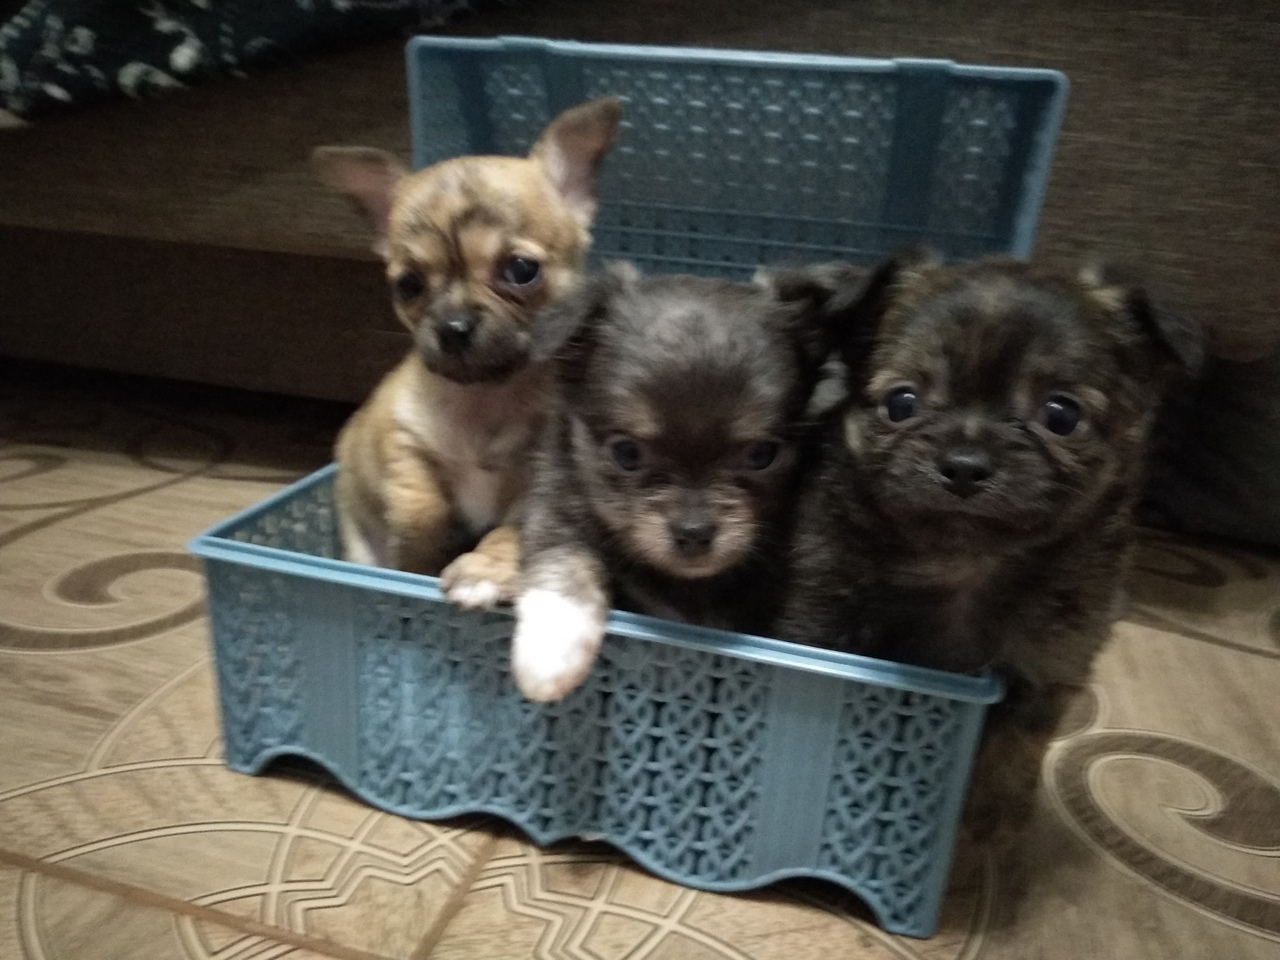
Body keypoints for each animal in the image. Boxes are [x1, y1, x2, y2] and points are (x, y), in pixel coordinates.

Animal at [312, 97, 621, 607]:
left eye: (521, 270)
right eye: (408, 285)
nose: (454, 327)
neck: (484, 397)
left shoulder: (538, 479)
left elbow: (513, 530)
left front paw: (484, 571)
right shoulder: (401, 438)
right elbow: (419, 504)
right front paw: (420, 547)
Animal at [509, 264, 834, 701]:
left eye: (761, 455)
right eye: (627, 453)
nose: (694, 532)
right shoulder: (558, 507)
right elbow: (564, 562)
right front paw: (549, 656)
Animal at [772, 250, 1204, 841]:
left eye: (1061, 415)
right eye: (901, 403)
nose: (964, 464)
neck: (962, 560)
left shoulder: (1039, 680)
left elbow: (1003, 777)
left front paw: (983, 833)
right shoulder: (820, 625)